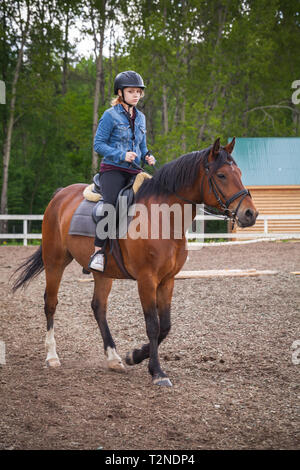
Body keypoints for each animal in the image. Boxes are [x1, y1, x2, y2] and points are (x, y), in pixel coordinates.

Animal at [12, 136, 258, 386]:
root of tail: (60, 195)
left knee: (99, 307)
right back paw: (52, 356)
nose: (250, 214)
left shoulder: (167, 280)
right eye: (222, 175)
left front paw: (135, 356)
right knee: (50, 303)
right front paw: (157, 372)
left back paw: (113, 358)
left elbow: (165, 326)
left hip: (103, 273)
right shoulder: (146, 280)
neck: (163, 219)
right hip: (55, 262)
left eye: (239, 172)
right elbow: (153, 325)